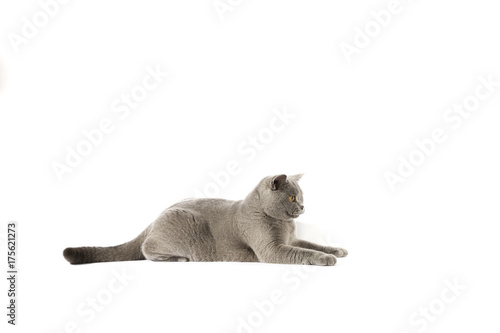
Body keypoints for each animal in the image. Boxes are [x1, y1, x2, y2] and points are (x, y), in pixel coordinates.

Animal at [63, 174, 348, 264]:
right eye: (292, 197)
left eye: (300, 197)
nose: (303, 206)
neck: (285, 225)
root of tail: (156, 217)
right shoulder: (273, 249)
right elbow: (303, 253)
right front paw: (326, 259)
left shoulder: (294, 238)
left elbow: (311, 244)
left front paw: (337, 250)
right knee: (145, 249)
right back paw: (177, 259)